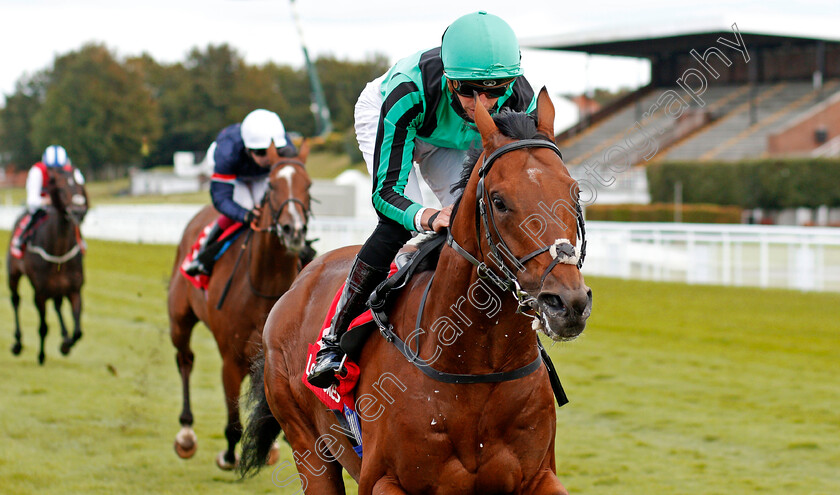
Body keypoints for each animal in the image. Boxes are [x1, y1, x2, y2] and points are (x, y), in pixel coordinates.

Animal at [6, 166, 88, 364]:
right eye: (61, 188)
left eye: (80, 186)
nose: (78, 212)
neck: (59, 252)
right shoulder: (40, 293)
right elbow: (43, 327)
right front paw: (42, 355)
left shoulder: (74, 289)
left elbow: (78, 331)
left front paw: (66, 344)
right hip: (13, 274)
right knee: (15, 300)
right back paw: (17, 343)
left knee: (57, 306)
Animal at [169, 144, 314, 472]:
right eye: (271, 185)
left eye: (309, 185)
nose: (294, 230)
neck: (265, 283)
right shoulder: (230, 357)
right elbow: (234, 423)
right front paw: (228, 455)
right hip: (179, 320)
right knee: (185, 360)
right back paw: (186, 433)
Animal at [236, 90, 592, 495]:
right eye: (499, 201)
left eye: (575, 193)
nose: (567, 303)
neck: (475, 366)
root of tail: (298, 283)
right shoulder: (382, 480)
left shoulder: (538, 476)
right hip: (308, 448)